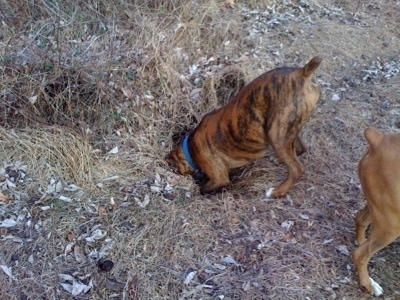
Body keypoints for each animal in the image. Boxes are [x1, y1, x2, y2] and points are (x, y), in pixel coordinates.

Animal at [166, 56, 322, 197]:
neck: (189, 147)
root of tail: (302, 72)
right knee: (301, 148)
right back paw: (278, 160)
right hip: (288, 129)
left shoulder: (219, 178)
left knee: (296, 169)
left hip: (277, 133)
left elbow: (204, 188)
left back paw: (276, 192)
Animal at [354, 126, 400, 296]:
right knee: (359, 255)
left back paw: (360, 240)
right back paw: (368, 285)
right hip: (391, 225)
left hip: (380, 209)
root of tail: (379, 140)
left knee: (360, 219)